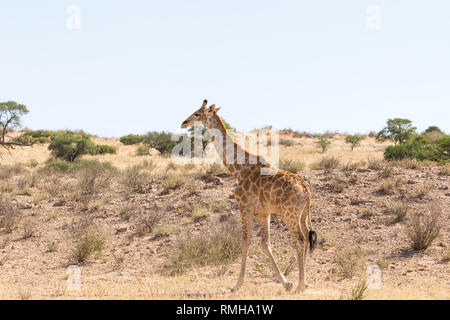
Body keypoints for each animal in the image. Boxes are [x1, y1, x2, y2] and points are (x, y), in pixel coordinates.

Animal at [181, 99, 318, 292]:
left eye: (197, 113)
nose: (183, 123)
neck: (238, 169)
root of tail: (306, 190)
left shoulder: (244, 207)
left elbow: (245, 241)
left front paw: (237, 285)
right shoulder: (263, 212)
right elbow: (265, 244)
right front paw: (285, 282)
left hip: (288, 214)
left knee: (299, 239)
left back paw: (300, 285)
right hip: (303, 214)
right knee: (306, 237)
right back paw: (304, 282)